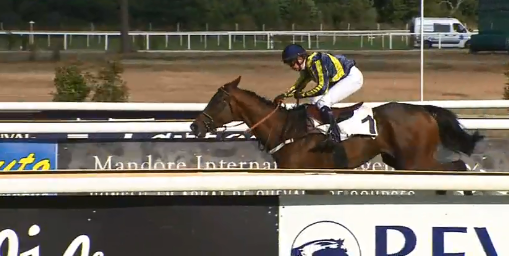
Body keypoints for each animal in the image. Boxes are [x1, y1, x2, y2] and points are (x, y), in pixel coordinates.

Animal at [189, 77, 482, 195]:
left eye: (218, 101)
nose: (194, 126)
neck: (285, 128)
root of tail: (424, 110)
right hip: (399, 161)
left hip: (414, 161)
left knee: (457, 166)